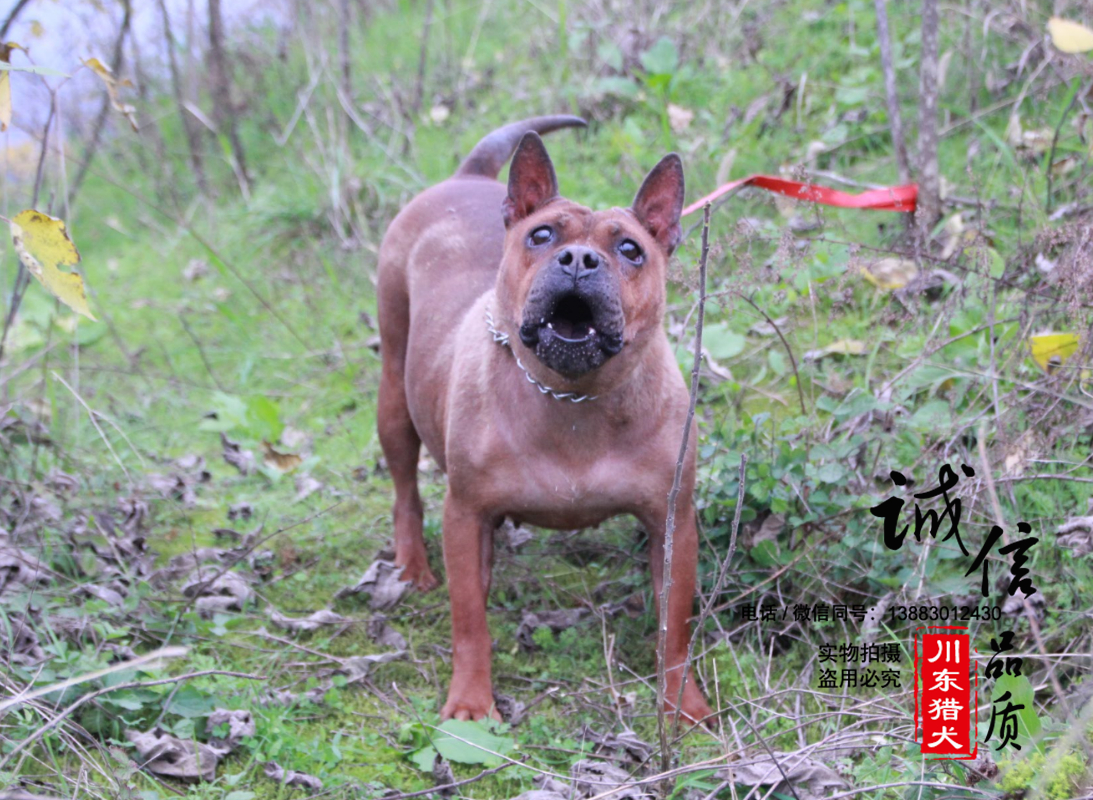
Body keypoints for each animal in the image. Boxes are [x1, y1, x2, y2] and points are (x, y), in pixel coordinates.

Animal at [380, 114, 712, 725]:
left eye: (631, 249)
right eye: (541, 236)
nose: (579, 260)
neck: (572, 397)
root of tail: (467, 176)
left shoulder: (672, 524)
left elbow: (673, 628)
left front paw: (681, 701)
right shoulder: (465, 517)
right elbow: (470, 622)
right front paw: (471, 701)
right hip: (393, 396)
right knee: (404, 490)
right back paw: (413, 566)